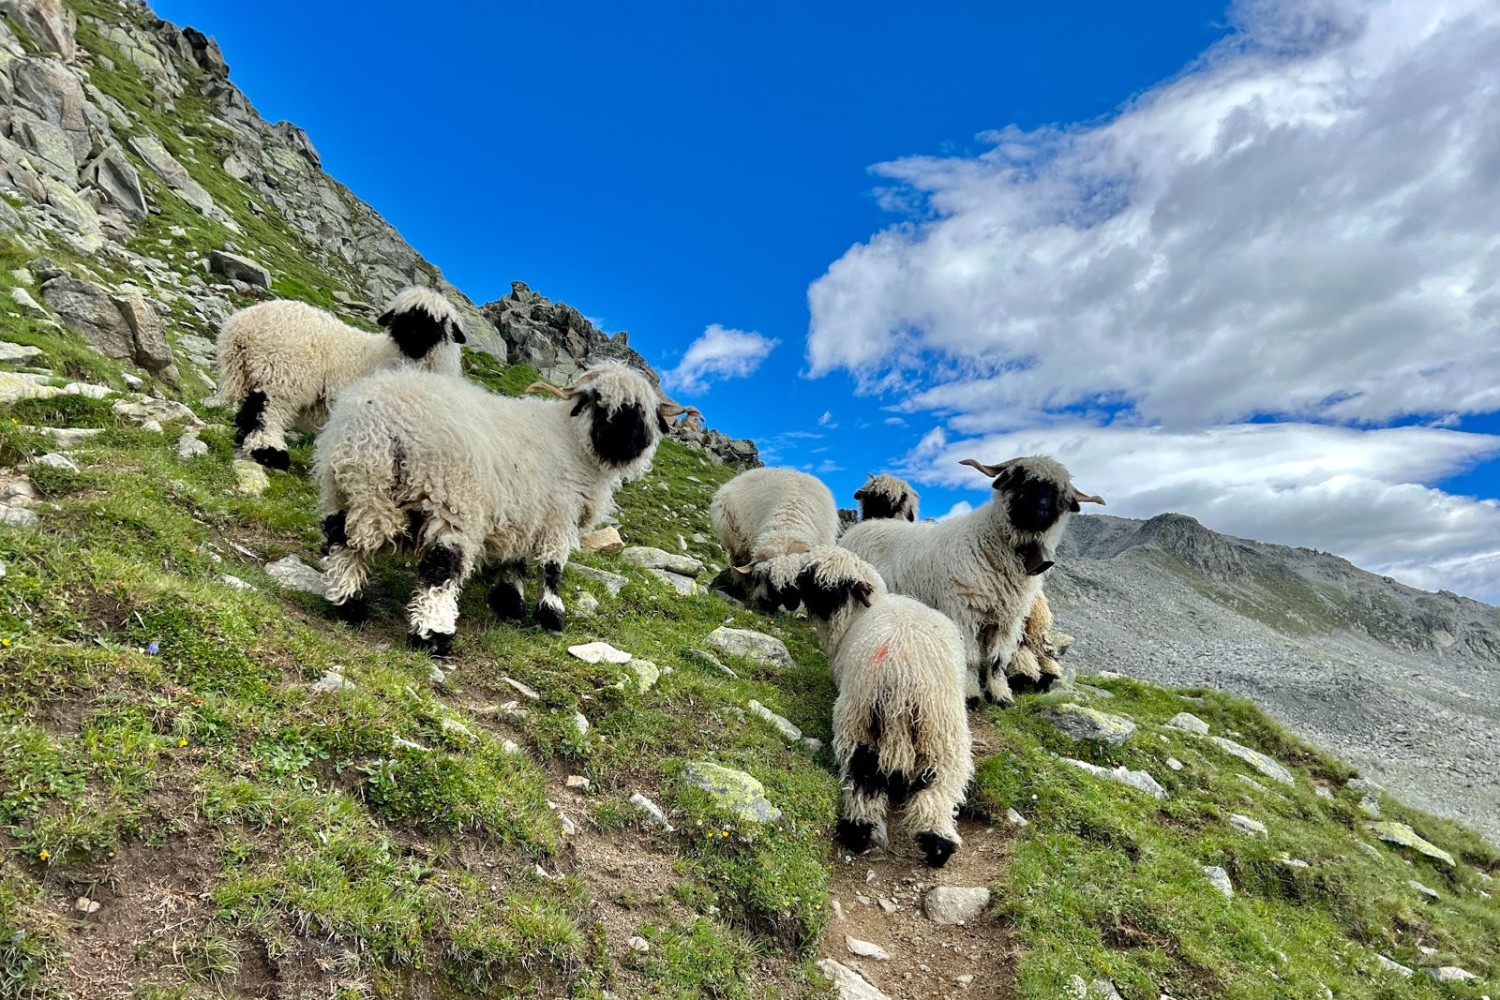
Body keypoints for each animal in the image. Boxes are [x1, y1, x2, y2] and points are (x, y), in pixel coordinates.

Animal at [219, 281, 465, 470]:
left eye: (439, 321)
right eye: (400, 316)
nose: (411, 333)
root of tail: (240, 325)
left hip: (252, 373)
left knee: (247, 413)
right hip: (280, 373)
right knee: (265, 411)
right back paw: (270, 452)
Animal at [316, 361, 696, 656]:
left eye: (641, 411)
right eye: (598, 402)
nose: (624, 443)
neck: (575, 444)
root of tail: (379, 422)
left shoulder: (524, 513)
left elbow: (515, 560)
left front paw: (510, 604)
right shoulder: (558, 515)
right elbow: (552, 568)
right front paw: (550, 614)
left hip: (347, 489)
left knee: (341, 542)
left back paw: (349, 605)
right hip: (451, 501)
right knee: (441, 569)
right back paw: (434, 635)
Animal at [798, 548, 972, 869]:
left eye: (826, 586)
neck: (857, 615)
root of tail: (902, 677)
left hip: (859, 719)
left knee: (862, 777)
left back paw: (858, 831)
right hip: (938, 729)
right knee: (936, 785)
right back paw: (936, 847)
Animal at [840, 458, 1110, 707]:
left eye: (1058, 493)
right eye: (1020, 479)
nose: (1040, 513)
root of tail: (869, 525)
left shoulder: (1009, 620)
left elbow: (997, 661)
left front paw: (1001, 695)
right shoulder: (965, 612)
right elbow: (971, 659)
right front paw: (971, 694)